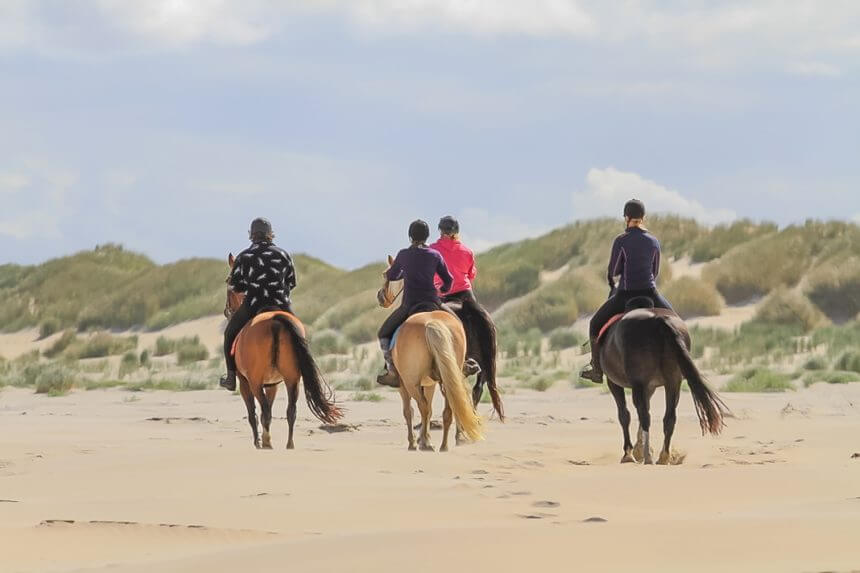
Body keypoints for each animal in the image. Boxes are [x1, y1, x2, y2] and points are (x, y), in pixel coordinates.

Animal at [223, 252, 340, 450]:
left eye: (228, 282)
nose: (227, 311)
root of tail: (276, 319)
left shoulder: (245, 382)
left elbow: (253, 413)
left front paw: (257, 441)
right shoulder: (272, 385)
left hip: (255, 381)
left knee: (263, 410)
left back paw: (267, 443)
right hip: (292, 379)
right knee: (290, 411)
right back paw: (288, 445)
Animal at [376, 268, 484, 452]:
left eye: (386, 275)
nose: (381, 296)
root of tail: (431, 322)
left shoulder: (403, 385)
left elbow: (409, 411)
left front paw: (415, 441)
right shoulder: (430, 383)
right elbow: (431, 409)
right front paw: (423, 438)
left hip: (411, 382)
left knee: (422, 408)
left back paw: (425, 445)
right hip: (447, 379)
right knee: (448, 410)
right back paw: (444, 445)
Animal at [596, 300, 732, 464]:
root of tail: (659, 321)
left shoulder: (616, 383)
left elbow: (624, 415)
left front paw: (629, 453)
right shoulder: (650, 387)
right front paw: (638, 450)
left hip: (640, 383)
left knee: (645, 416)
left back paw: (648, 456)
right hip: (673, 383)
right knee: (669, 418)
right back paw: (663, 456)